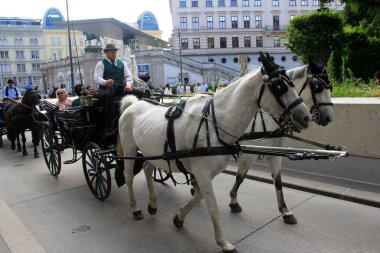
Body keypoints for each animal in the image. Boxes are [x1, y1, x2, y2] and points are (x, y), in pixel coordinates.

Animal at [118, 54, 312, 252]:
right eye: (279, 86)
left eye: (292, 84)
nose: (306, 117)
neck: (215, 122)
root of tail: (133, 103)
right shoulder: (202, 172)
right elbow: (212, 206)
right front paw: (223, 242)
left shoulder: (207, 173)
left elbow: (199, 196)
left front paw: (179, 217)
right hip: (130, 149)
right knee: (128, 176)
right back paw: (135, 208)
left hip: (151, 152)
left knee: (148, 168)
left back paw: (153, 204)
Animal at [229, 60, 332, 224]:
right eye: (317, 86)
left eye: (331, 87)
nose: (329, 117)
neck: (271, 120)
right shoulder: (248, 153)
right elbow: (240, 176)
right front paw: (233, 200)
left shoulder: (276, 154)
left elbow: (277, 180)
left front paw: (285, 210)